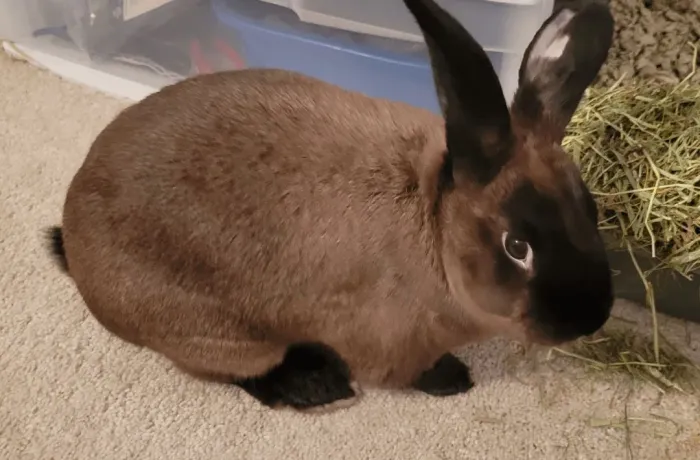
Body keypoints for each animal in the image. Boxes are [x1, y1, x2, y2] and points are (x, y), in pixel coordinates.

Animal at [46, 0, 615, 413]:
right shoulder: (390, 345)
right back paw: (318, 388)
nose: (590, 319)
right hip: (220, 335)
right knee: (240, 371)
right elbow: (408, 372)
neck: (432, 223)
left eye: (590, 210)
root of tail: (74, 247)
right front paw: (454, 379)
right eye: (517, 246)